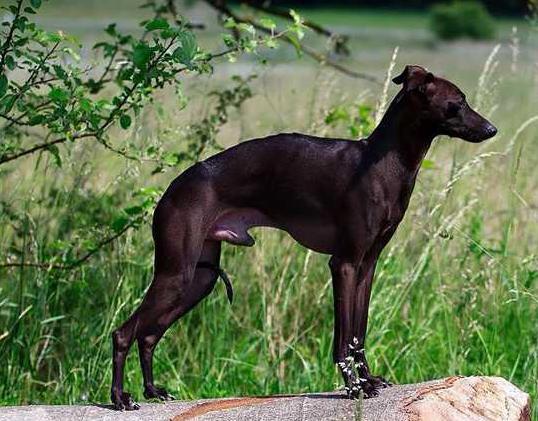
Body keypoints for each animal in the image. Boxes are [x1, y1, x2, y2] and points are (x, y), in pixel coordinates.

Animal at [109, 66, 494, 410]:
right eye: (458, 102)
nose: (492, 129)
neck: (383, 162)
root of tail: (172, 189)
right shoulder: (344, 264)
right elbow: (343, 338)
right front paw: (354, 387)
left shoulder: (367, 266)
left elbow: (359, 332)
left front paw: (369, 379)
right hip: (176, 274)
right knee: (124, 333)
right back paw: (120, 398)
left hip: (198, 279)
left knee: (148, 333)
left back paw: (153, 391)